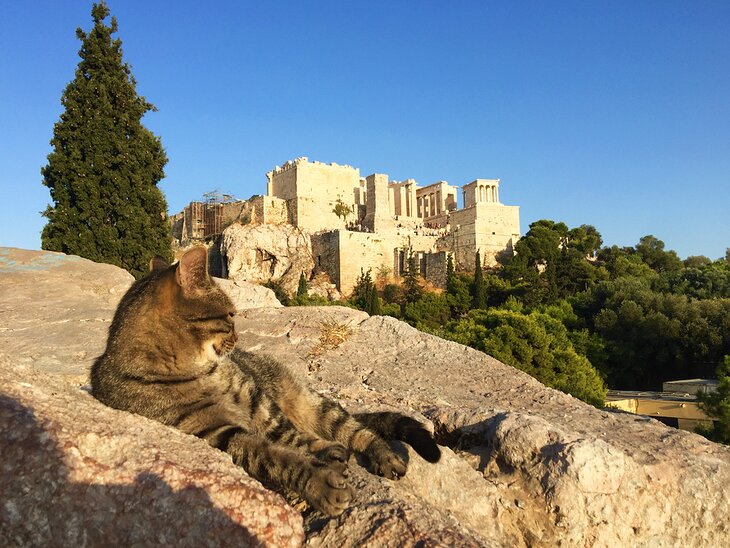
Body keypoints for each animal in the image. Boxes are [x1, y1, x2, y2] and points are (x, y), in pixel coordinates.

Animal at [91, 247, 438, 512]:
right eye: (230, 315)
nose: (238, 337)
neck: (200, 369)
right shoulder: (215, 435)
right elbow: (277, 457)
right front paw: (319, 482)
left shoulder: (259, 404)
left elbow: (292, 438)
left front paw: (323, 453)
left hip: (314, 405)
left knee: (360, 431)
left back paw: (382, 455)